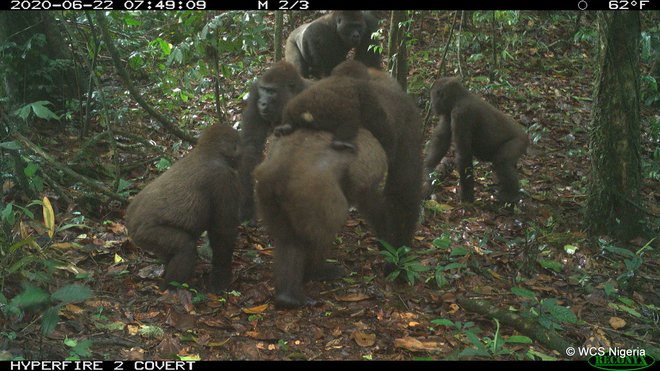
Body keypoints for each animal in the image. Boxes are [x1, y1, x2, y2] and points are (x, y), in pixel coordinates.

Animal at [238, 60, 314, 224]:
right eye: (263, 89)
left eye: (271, 91)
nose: (262, 103)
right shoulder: (254, 93)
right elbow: (250, 145)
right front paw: (246, 204)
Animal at [253, 129, 386, 310]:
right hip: (314, 201)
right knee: (321, 236)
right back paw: (316, 272)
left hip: (266, 194)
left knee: (289, 241)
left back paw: (288, 296)